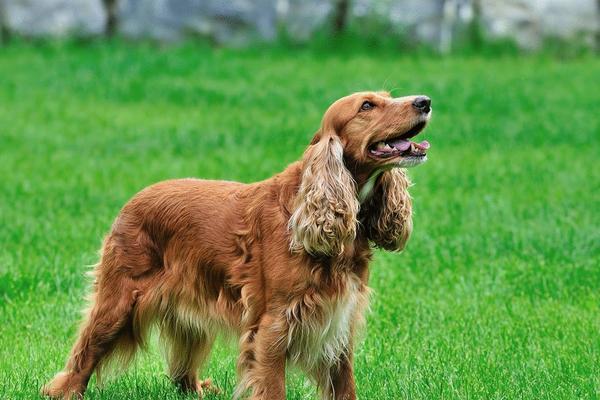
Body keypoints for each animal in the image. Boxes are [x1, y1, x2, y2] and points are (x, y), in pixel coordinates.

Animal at [44, 92, 434, 398]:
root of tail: (133, 200)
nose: (425, 101)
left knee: (181, 372)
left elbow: (345, 385)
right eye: (367, 105)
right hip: (119, 300)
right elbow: (273, 387)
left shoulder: (339, 320)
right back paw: (65, 391)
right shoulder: (274, 324)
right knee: (84, 354)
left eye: (388, 95)